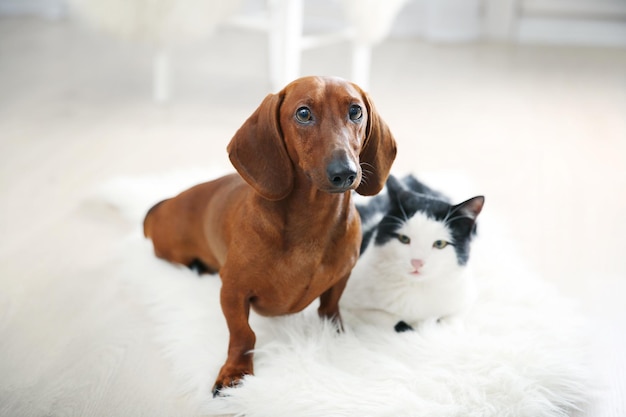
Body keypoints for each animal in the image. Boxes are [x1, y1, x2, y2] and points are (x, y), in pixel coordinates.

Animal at [143, 75, 394, 394]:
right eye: (303, 113)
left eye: (355, 111)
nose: (345, 172)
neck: (312, 224)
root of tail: (168, 202)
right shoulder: (232, 292)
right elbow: (243, 334)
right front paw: (234, 372)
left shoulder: (342, 276)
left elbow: (330, 306)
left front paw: (336, 335)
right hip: (171, 250)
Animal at [342, 174, 482, 330]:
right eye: (404, 238)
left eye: (440, 244)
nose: (417, 262)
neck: (416, 286)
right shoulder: (348, 304)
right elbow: (391, 322)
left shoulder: (464, 299)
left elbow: (449, 321)